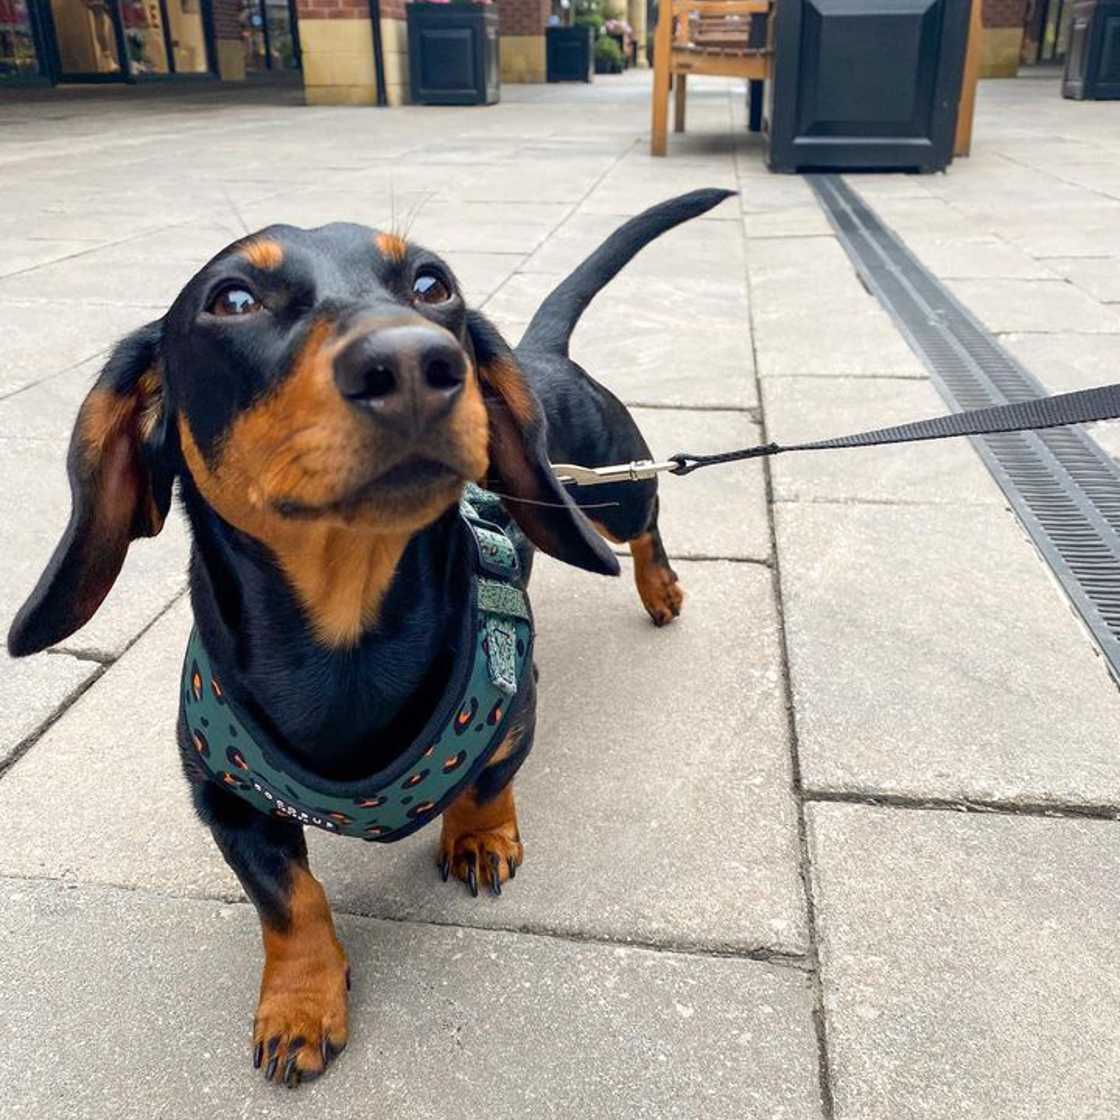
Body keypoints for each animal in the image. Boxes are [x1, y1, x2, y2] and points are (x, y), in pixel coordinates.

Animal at [7, 187, 733, 1087]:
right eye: (232, 300)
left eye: (432, 283)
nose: (417, 364)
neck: (345, 635)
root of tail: (539, 352)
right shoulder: (224, 799)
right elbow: (290, 901)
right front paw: (300, 1005)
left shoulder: (515, 711)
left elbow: (487, 784)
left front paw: (479, 839)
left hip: (608, 491)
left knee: (647, 517)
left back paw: (660, 587)